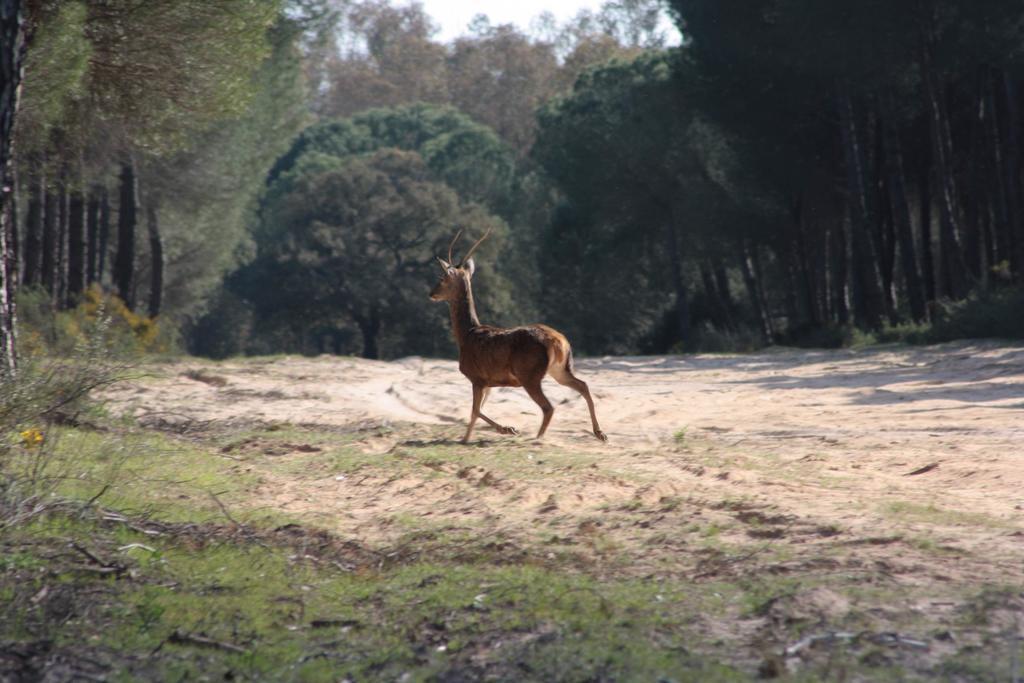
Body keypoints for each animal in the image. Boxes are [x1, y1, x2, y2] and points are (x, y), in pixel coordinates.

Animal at [425, 229, 602, 444]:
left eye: (442, 278)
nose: (431, 293)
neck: (466, 335)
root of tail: (560, 343)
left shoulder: (477, 377)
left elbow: (475, 410)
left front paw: (505, 430)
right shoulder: (488, 382)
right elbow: (476, 411)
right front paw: (467, 438)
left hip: (529, 373)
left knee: (548, 406)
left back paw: (538, 437)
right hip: (560, 369)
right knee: (582, 385)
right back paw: (600, 433)